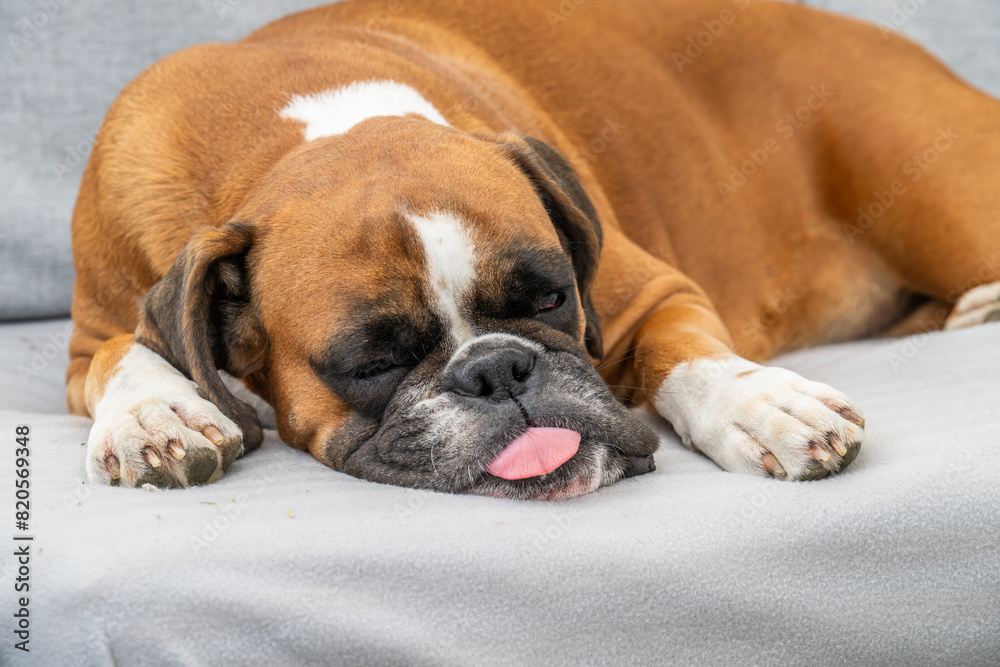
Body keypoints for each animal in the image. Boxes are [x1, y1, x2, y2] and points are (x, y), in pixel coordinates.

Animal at [67, 0, 1000, 500]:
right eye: (370, 362)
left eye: (551, 297)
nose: (498, 369)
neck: (294, 135)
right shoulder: (88, 340)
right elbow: (125, 353)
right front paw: (155, 414)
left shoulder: (652, 290)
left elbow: (686, 351)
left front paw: (760, 402)